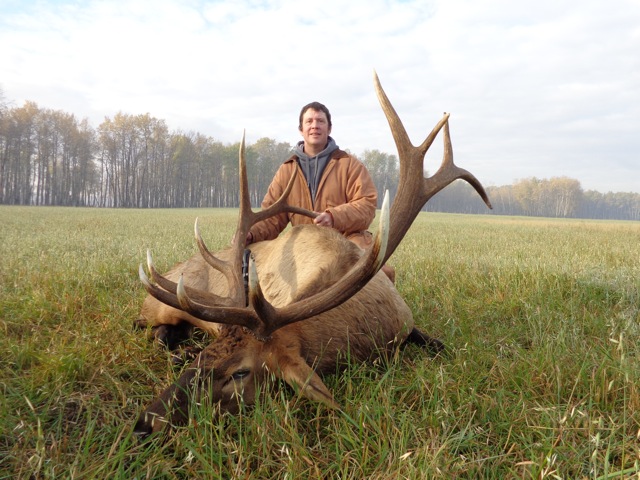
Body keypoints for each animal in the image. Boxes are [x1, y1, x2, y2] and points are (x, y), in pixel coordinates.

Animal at [133, 73, 492, 436]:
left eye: (240, 372)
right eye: (203, 356)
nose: (144, 422)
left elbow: (438, 344)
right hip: (162, 305)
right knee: (148, 324)